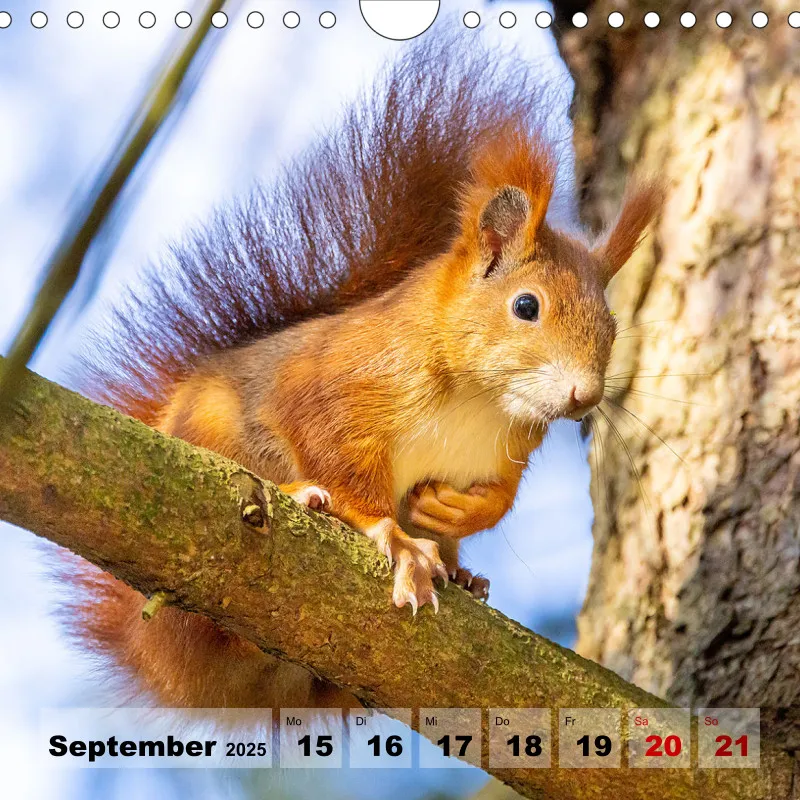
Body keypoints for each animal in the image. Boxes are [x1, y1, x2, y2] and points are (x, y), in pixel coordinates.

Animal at [63, 38, 660, 711]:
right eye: (526, 305)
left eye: (612, 324)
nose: (585, 395)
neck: (483, 401)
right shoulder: (341, 385)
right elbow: (340, 459)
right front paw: (394, 537)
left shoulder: (511, 446)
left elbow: (501, 495)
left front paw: (460, 513)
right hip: (216, 430)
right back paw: (304, 496)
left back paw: (463, 571)